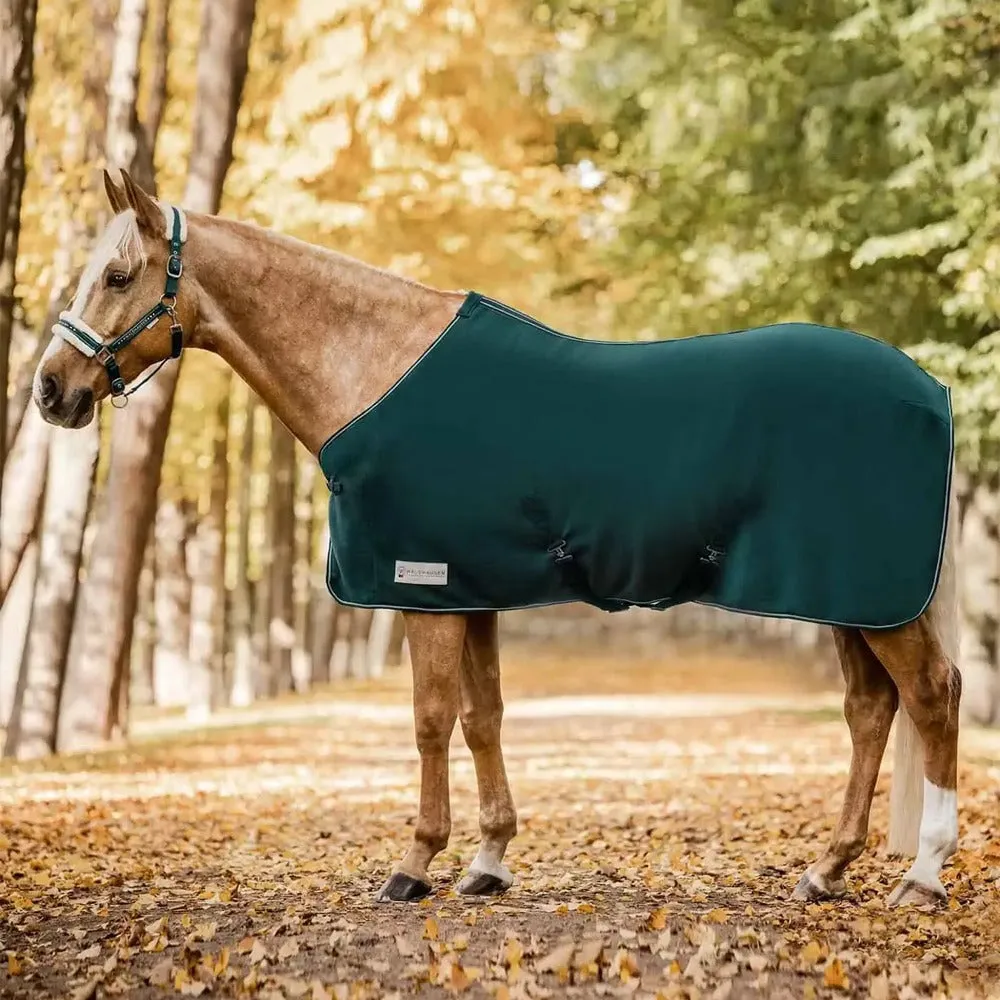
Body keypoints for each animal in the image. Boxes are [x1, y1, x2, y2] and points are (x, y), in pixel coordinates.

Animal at [32, 169, 961, 908]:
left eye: (117, 274)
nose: (50, 391)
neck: (377, 368)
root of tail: (931, 388)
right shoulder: (469, 588)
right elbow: (484, 718)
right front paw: (488, 862)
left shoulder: (422, 586)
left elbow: (430, 721)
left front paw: (414, 865)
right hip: (848, 597)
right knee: (871, 709)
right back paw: (827, 870)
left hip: (872, 597)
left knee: (932, 695)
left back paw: (922, 876)